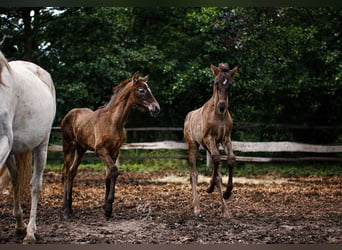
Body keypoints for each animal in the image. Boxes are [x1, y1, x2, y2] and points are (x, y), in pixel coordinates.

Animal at [0, 49, 55, 243]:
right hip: (12, 152)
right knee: (16, 179)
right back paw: (19, 225)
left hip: (42, 145)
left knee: (35, 185)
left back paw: (30, 232)